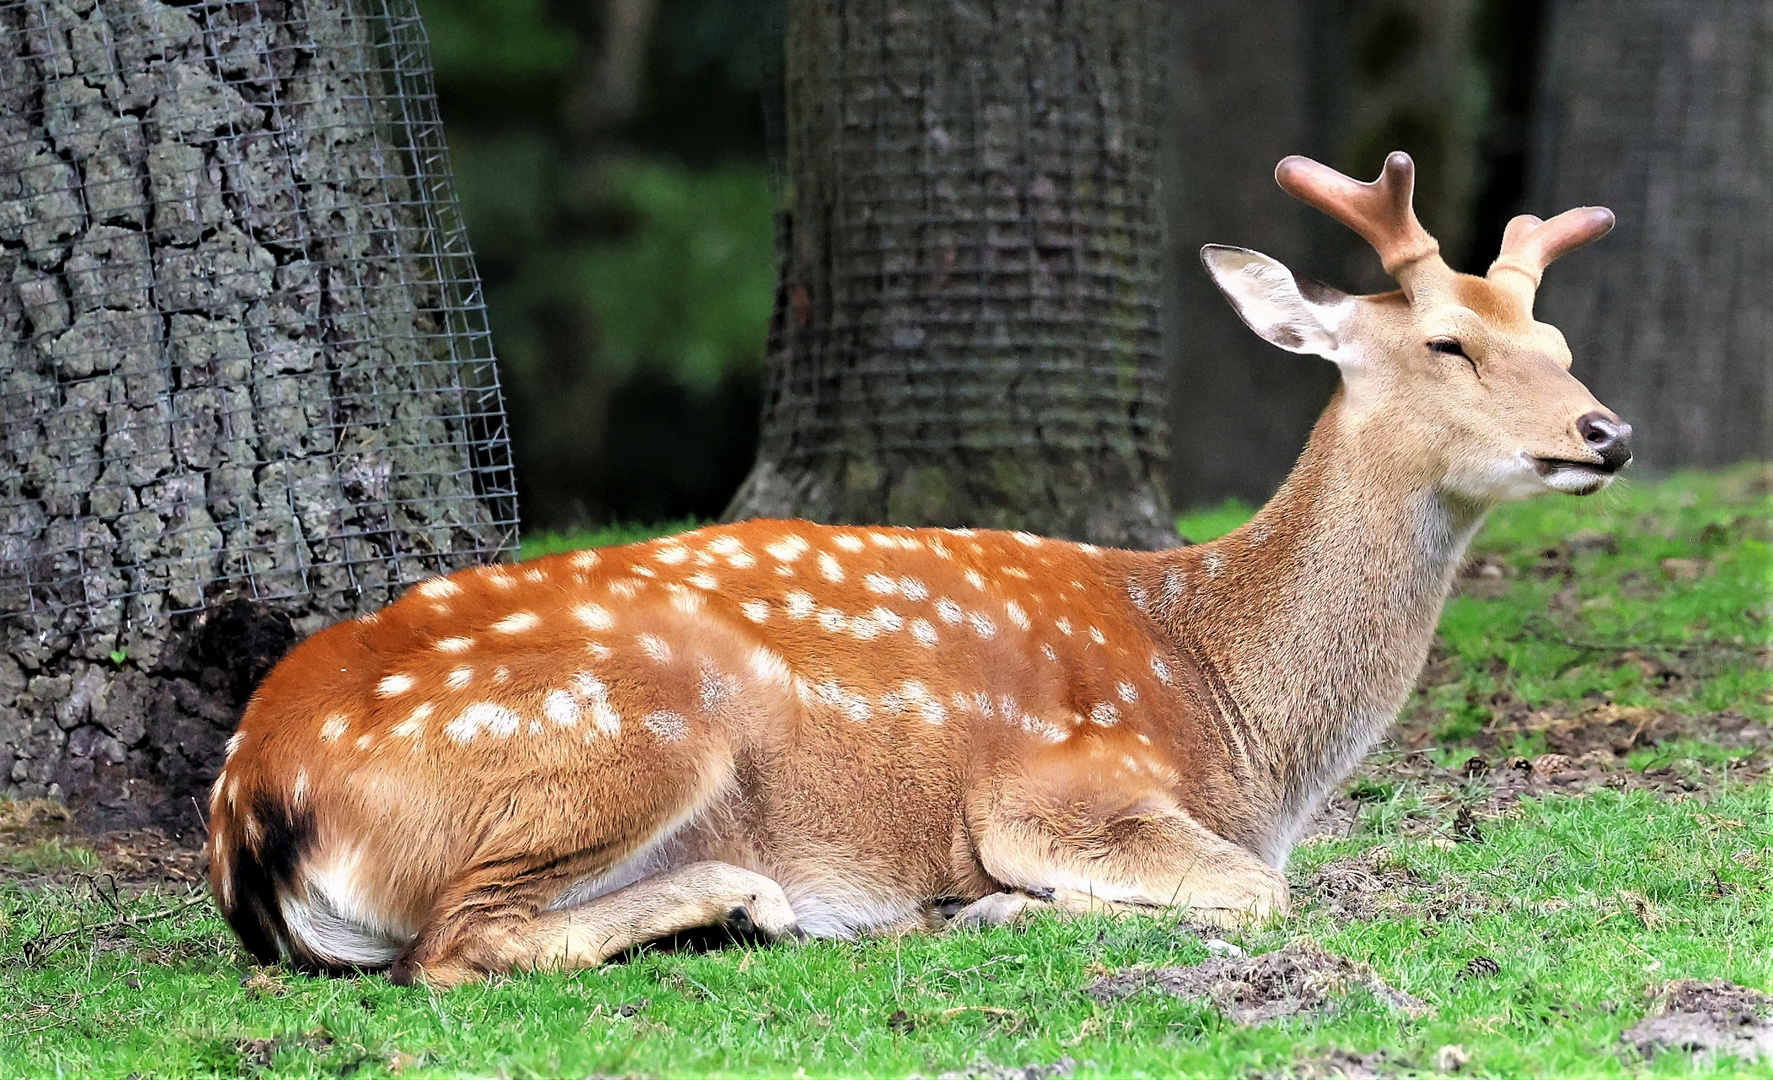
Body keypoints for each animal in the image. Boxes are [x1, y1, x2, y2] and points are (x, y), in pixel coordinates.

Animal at [201, 151, 1624, 986]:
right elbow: (1260, 895)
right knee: (454, 945)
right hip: (640, 715)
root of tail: (250, 804)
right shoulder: (1054, 786)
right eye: (1447, 343)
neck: (1230, 705)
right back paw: (759, 900)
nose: (1605, 430)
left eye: (1556, 340)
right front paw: (993, 912)